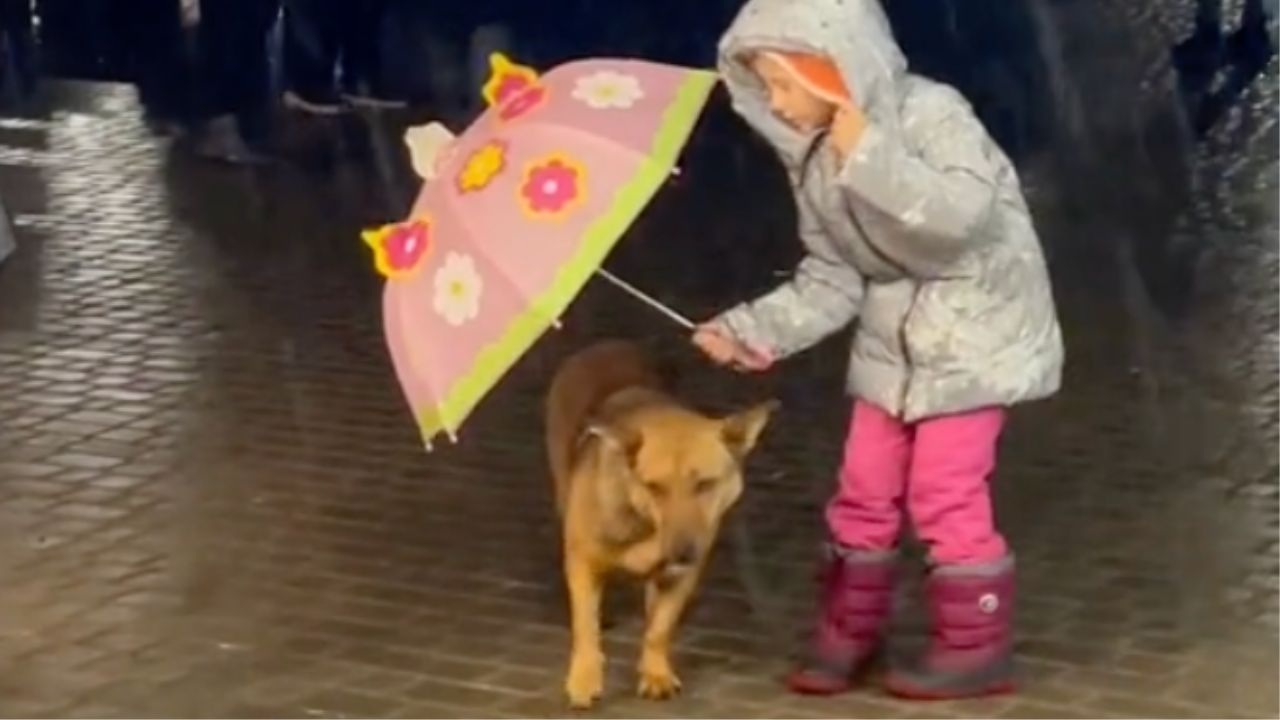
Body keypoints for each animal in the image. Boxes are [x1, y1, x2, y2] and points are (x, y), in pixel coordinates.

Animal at [545, 338, 773, 702]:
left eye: (705, 484)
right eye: (654, 487)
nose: (682, 551)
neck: (646, 524)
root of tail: (607, 343)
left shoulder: (683, 576)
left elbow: (659, 628)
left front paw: (655, 672)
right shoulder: (583, 560)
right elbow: (585, 626)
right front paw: (584, 678)